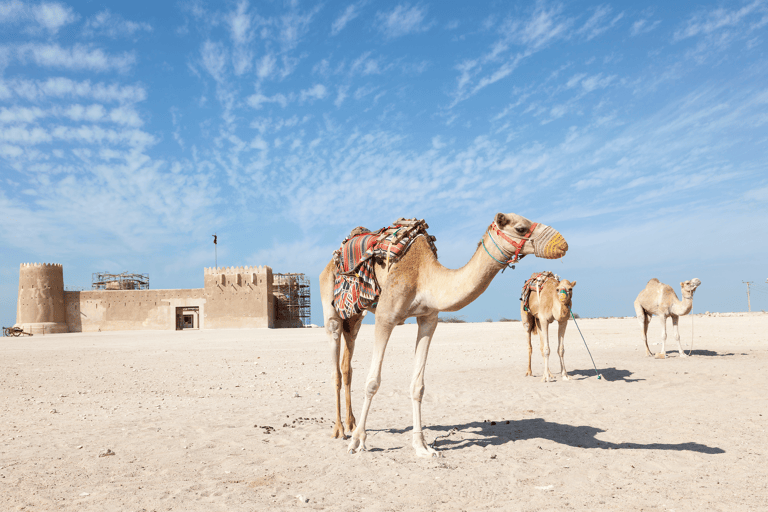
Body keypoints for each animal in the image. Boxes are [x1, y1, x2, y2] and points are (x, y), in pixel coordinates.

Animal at [319, 212, 568, 457]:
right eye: (520, 228)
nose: (563, 244)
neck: (425, 276)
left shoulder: (428, 319)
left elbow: (418, 386)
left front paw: (422, 446)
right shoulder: (385, 316)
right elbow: (372, 382)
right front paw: (357, 441)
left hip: (355, 317)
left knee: (347, 365)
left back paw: (350, 423)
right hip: (332, 308)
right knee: (336, 367)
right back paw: (340, 430)